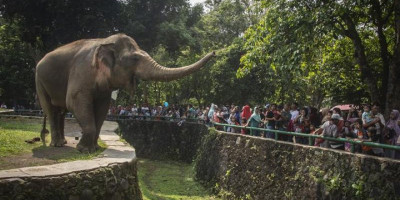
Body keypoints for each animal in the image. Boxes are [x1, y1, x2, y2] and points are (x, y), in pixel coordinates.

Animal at [36, 33, 214, 152]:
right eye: (135, 59)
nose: (214, 52)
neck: (104, 41)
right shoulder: (81, 73)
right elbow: (74, 101)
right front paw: (84, 150)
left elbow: (102, 108)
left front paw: (94, 148)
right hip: (39, 81)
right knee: (51, 110)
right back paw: (57, 144)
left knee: (60, 111)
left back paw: (63, 142)